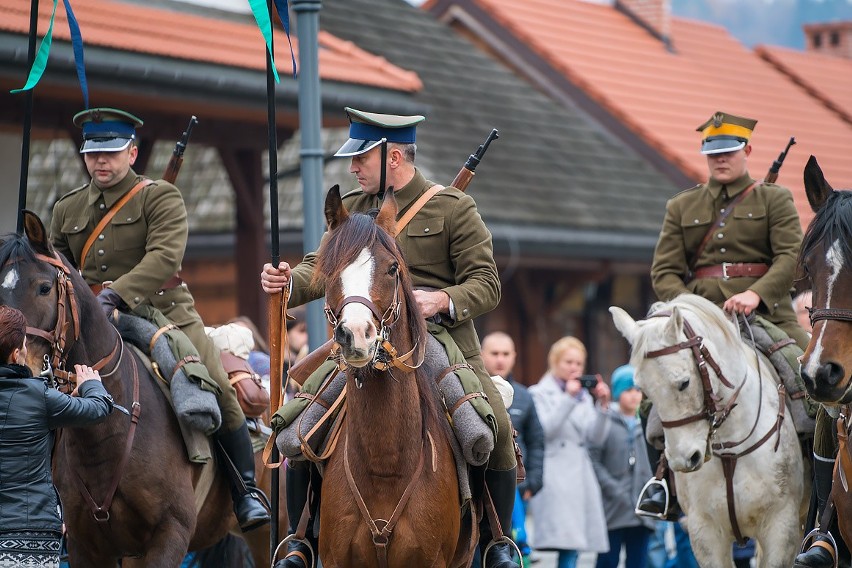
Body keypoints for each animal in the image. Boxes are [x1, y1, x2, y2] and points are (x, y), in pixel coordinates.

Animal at [608, 296, 804, 564]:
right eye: (642, 389)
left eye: (684, 383)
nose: (683, 460)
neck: (732, 449)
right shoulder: (705, 534)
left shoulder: (782, 529)